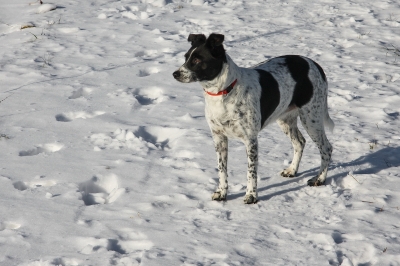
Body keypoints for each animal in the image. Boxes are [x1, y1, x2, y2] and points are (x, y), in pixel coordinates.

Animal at [172, 33, 334, 204]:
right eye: (186, 57)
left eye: (197, 60)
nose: (175, 74)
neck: (224, 92)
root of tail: (315, 64)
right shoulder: (219, 137)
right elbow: (222, 169)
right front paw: (222, 193)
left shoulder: (250, 140)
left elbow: (251, 172)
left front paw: (251, 195)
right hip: (285, 119)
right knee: (300, 142)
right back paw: (292, 170)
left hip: (311, 118)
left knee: (326, 148)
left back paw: (319, 179)